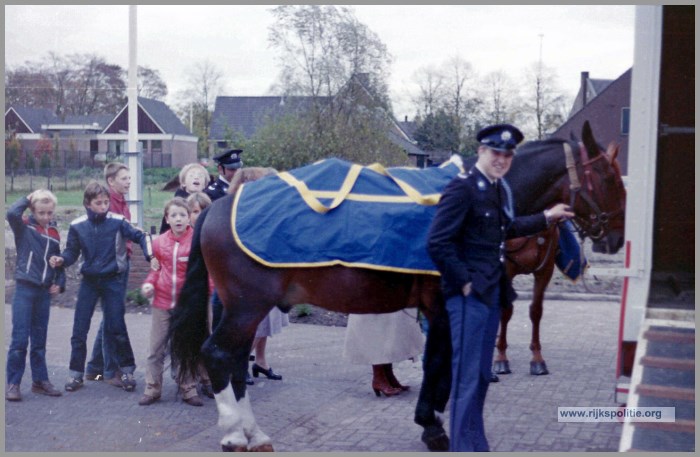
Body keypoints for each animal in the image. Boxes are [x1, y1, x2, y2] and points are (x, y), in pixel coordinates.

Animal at [171, 119, 628, 450]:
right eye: (609, 178)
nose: (616, 238)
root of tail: (217, 208)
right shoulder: (442, 307)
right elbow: (439, 364)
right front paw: (433, 425)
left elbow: (442, 365)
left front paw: (435, 418)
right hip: (246, 306)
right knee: (218, 355)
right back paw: (235, 434)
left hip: (245, 309)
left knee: (234, 360)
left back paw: (254, 433)